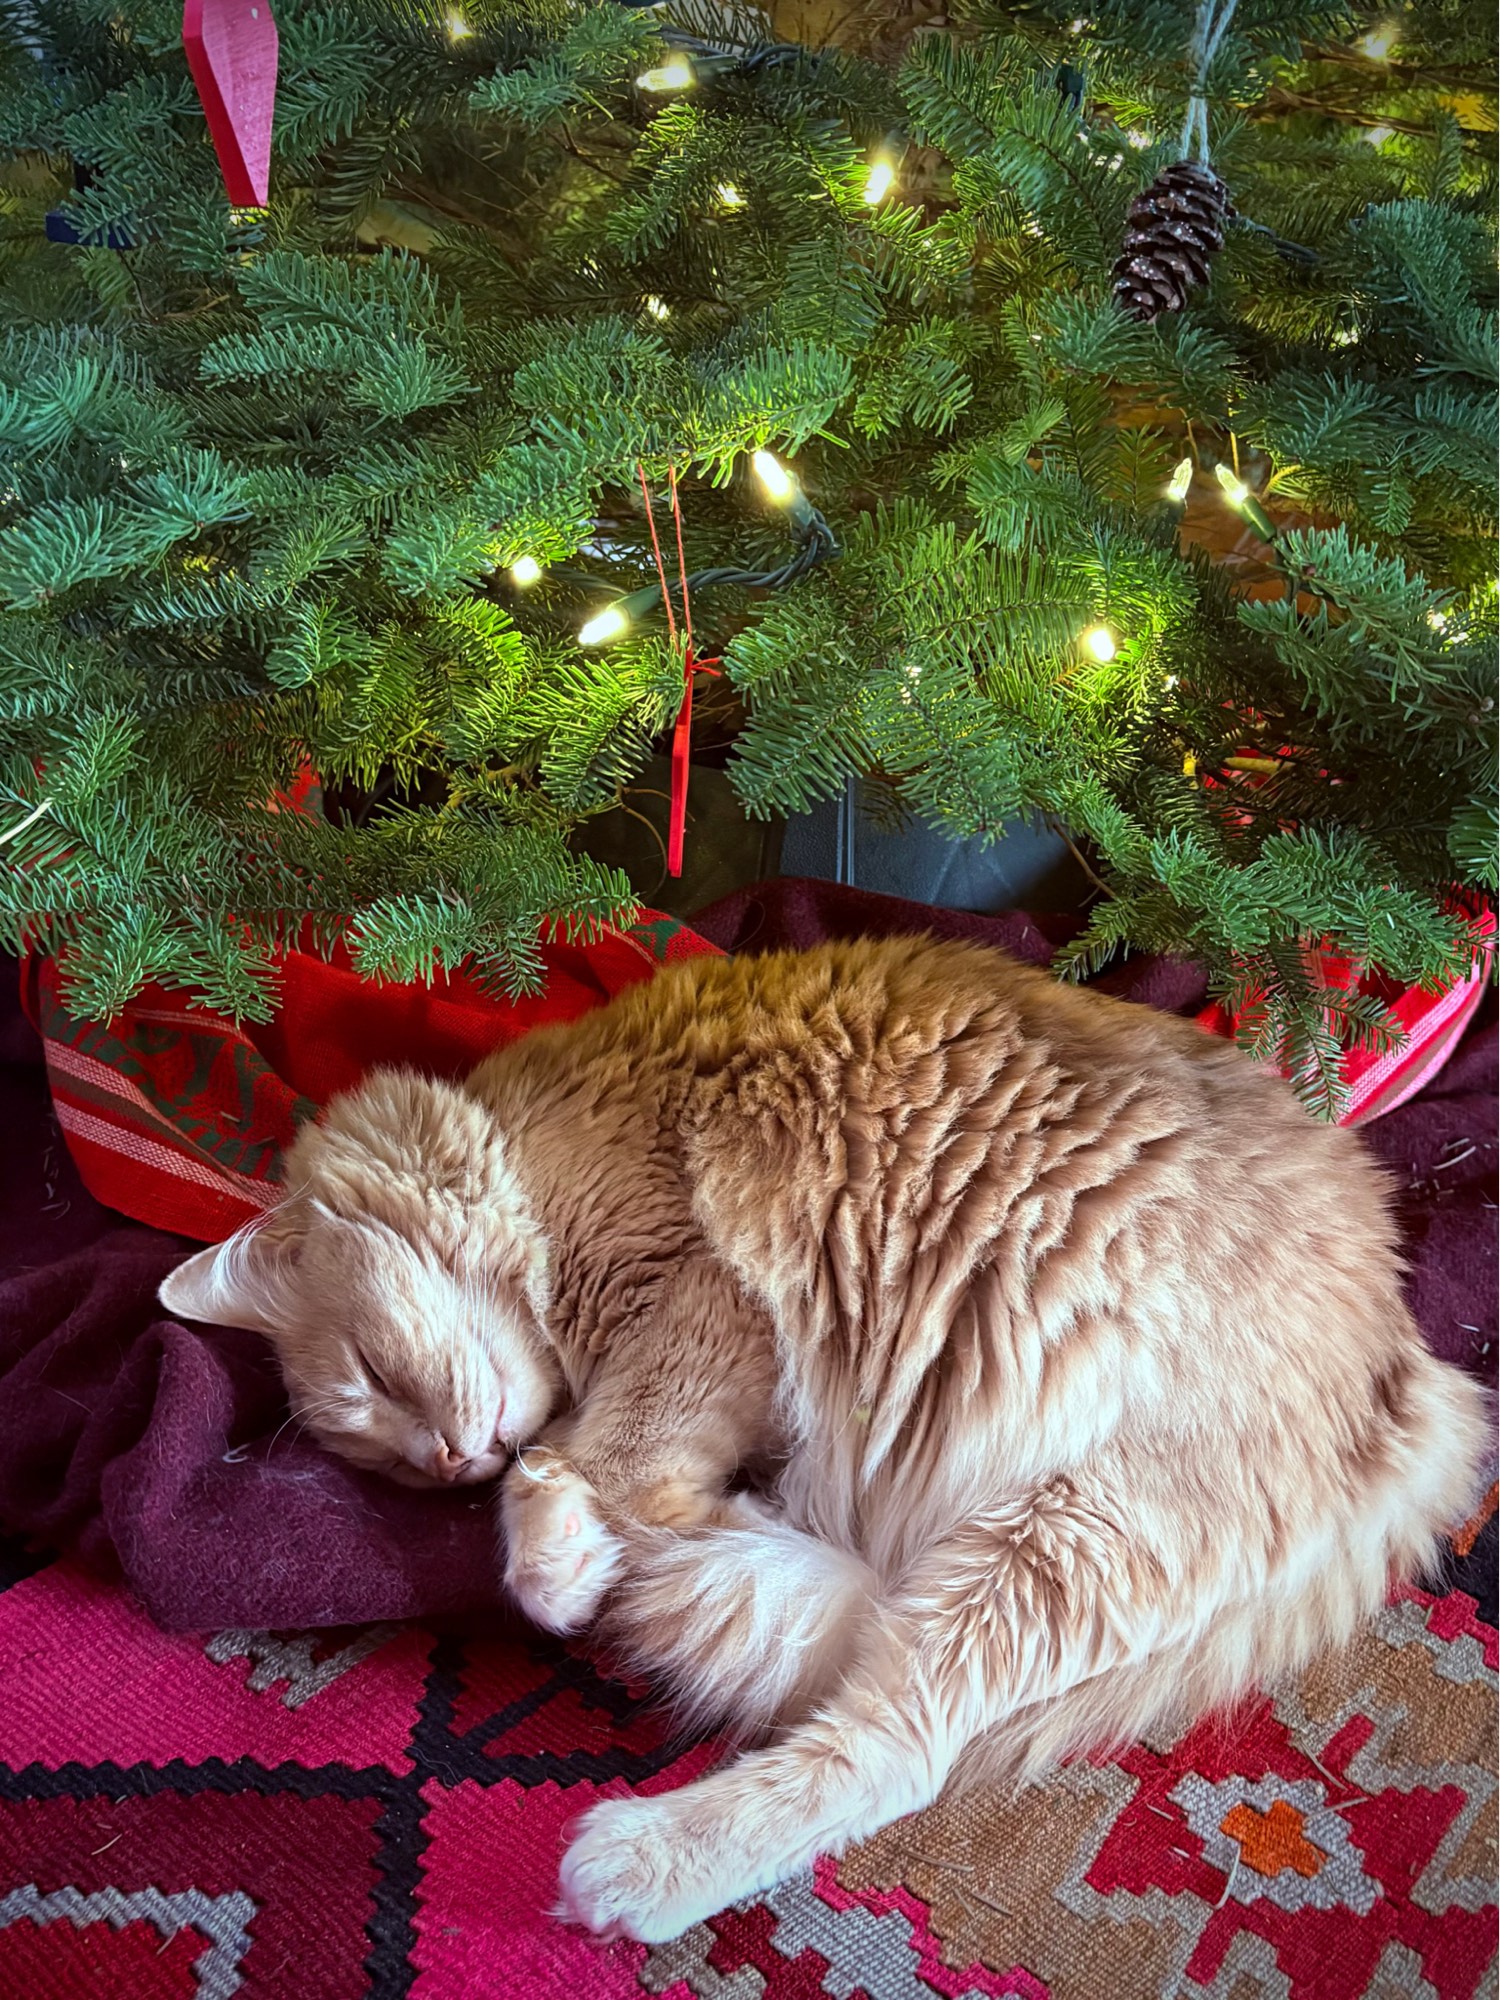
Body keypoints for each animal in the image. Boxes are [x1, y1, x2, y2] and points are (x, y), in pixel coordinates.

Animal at [160, 935, 1490, 1944]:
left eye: (375, 1378)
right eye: (384, 1455)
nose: (447, 1461)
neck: (526, 1132)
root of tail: (1411, 1368)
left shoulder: (697, 1293)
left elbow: (581, 1460)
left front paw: (559, 1556)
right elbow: (616, 1482)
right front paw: (610, 1545)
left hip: (1065, 1536)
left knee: (889, 1748)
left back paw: (634, 1858)